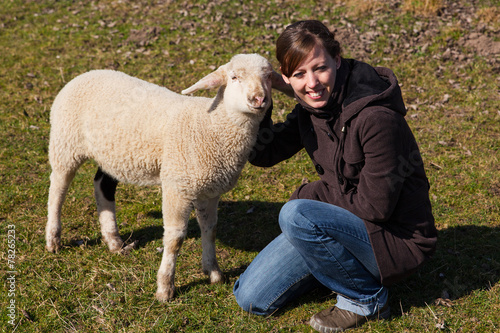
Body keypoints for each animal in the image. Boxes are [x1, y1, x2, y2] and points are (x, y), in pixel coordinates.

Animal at [46, 53, 274, 300]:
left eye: (269, 77)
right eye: (234, 77)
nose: (259, 99)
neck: (212, 125)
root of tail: (85, 74)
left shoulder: (210, 190)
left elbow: (210, 229)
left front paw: (213, 272)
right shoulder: (177, 186)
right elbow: (175, 239)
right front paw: (165, 287)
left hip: (111, 155)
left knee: (102, 185)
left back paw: (114, 241)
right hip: (65, 143)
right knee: (58, 190)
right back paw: (53, 239)